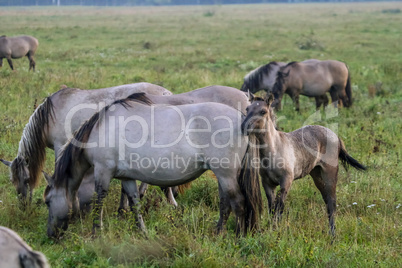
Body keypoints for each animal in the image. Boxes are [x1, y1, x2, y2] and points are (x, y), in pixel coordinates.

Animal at [0, 81, 171, 211]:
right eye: (12, 181)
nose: (23, 206)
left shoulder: (60, 146)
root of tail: (167, 93)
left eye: (27, 179)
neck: (48, 116)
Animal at [44, 94, 264, 239]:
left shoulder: (103, 172)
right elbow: (134, 202)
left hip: (226, 174)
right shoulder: (127, 178)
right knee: (225, 204)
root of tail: (242, 120)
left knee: (239, 203)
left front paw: (97, 231)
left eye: (47, 201)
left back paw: (239, 236)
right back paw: (218, 232)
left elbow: (100, 201)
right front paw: (142, 231)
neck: (101, 129)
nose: (50, 234)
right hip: (222, 176)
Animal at [240, 94, 366, 234]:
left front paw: (277, 231)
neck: (274, 149)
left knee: (332, 202)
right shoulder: (267, 184)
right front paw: (272, 230)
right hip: (316, 174)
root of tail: (335, 135)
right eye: (247, 109)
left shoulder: (286, 181)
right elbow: (272, 209)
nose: (244, 126)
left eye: (263, 111)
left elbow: (279, 208)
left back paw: (332, 233)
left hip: (330, 173)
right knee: (326, 200)